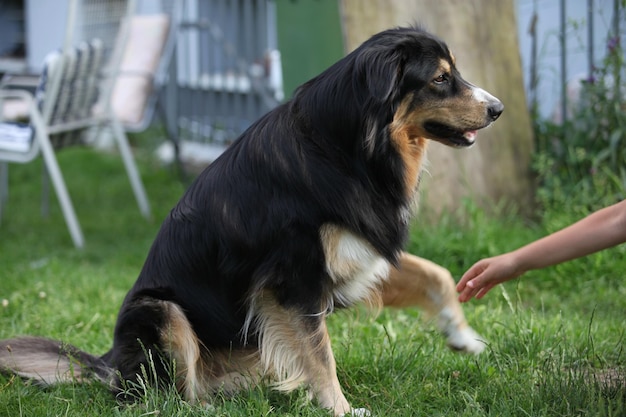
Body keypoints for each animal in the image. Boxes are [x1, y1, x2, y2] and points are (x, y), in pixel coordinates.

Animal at [0, 26, 502, 416]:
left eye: (453, 73)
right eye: (440, 78)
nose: (497, 108)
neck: (345, 149)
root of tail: (108, 365)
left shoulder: (357, 254)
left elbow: (436, 274)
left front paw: (464, 338)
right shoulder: (293, 280)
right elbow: (322, 357)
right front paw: (341, 409)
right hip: (160, 310)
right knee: (170, 395)